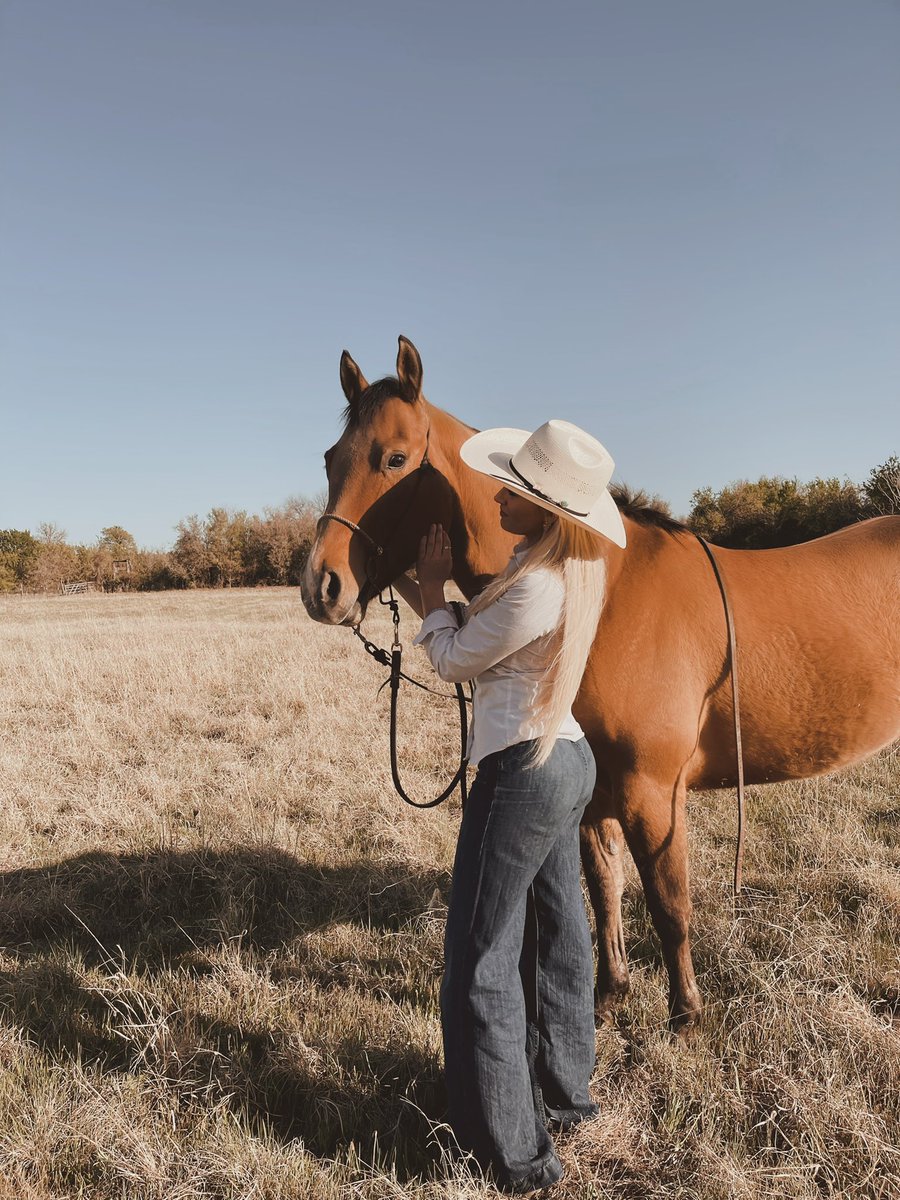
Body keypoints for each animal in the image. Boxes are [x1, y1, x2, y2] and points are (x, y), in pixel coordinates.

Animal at [301, 335, 900, 1029]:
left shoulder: (653, 792)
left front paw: (685, 1015)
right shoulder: (597, 793)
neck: (601, 592)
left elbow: (668, 903)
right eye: (331, 458)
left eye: (395, 458)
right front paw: (611, 996)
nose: (322, 587)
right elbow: (605, 891)